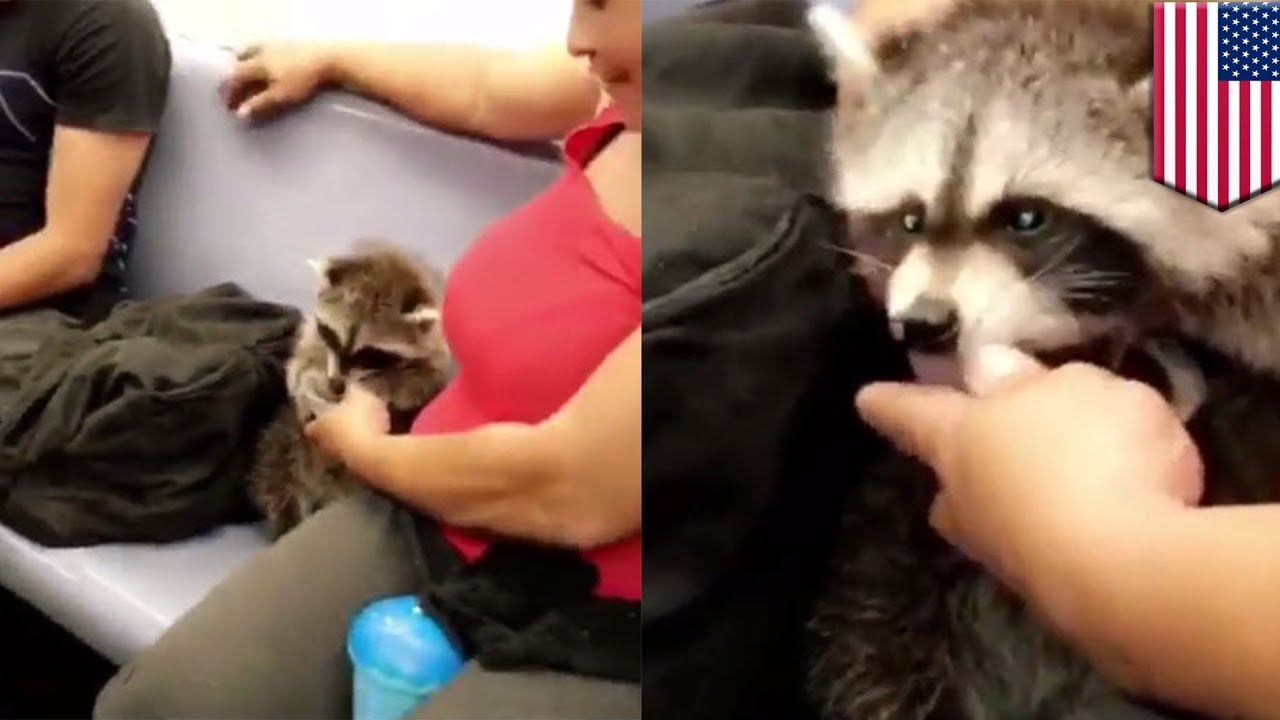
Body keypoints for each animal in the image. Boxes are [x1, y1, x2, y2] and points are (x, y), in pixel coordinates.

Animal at [247, 242, 451, 539]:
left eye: (368, 354)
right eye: (332, 335)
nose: (336, 383)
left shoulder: (438, 354)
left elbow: (420, 382)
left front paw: (379, 386)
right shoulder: (314, 333)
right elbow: (301, 360)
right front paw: (306, 381)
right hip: (286, 438)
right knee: (277, 470)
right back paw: (287, 517)